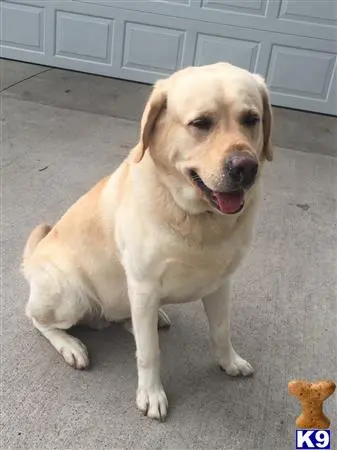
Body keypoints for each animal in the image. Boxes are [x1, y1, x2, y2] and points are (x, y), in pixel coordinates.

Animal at [22, 61, 272, 420]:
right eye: (201, 123)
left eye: (251, 119)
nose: (246, 167)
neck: (196, 218)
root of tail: (32, 259)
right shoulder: (143, 287)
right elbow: (149, 353)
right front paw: (151, 394)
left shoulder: (220, 283)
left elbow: (221, 330)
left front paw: (229, 362)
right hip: (71, 295)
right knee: (37, 319)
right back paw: (70, 345)